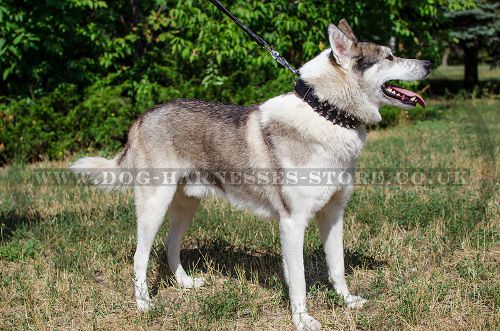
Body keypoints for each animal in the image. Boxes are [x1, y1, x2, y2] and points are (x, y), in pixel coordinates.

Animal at [70, 20, 430, 331]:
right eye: (390, 57)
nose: (427, 63)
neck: (326, 114)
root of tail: (143, 117)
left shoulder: (333, 215)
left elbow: (337, 266)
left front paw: (347, 301)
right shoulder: (293, 223)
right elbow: (299, 281)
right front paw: (302, 320)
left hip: (186, 207)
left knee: (170, 246)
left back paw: (186, 284)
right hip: (154, 206)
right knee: (140, 256)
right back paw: (144, 304)